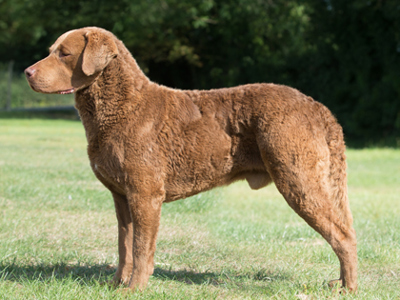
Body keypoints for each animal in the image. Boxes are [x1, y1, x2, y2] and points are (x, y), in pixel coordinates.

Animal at [24, 27, 356, 292]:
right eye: (51, 51)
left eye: (64, 53)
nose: (27, 72)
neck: (123, 107)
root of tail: (318, 108)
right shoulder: (121, 195)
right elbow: (124, 245)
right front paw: (116, 284)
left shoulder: (145, 193)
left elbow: (141, 247)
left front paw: (134, 289)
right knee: (345, 229)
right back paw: (339, 282)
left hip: (298, 177)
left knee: (343, 236)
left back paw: (348, 288)